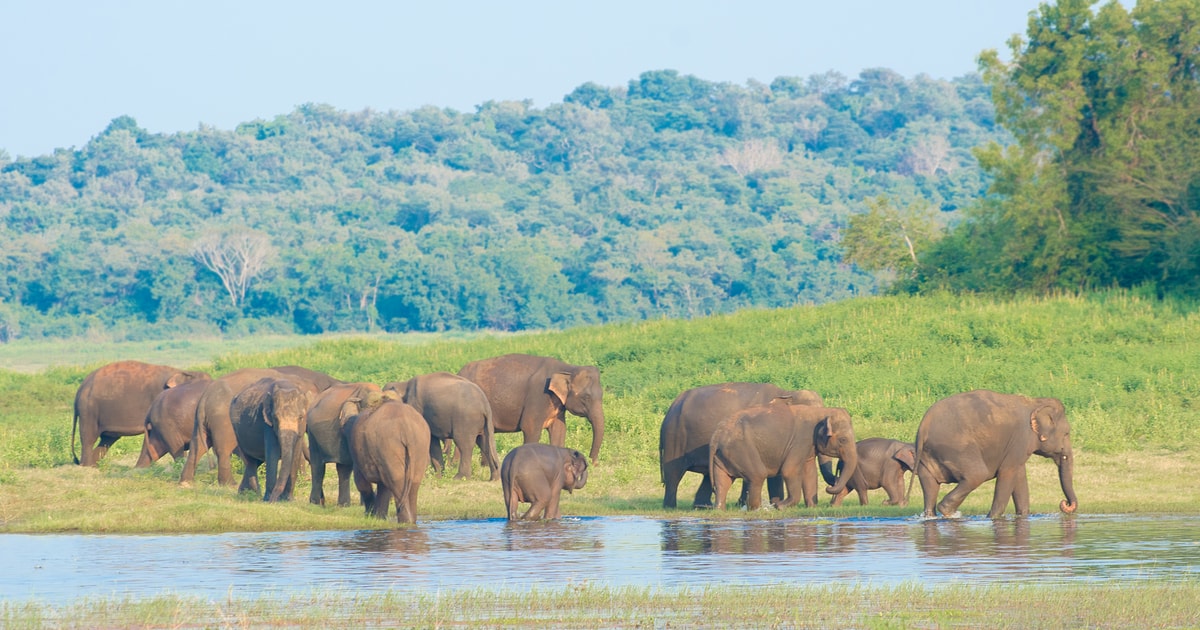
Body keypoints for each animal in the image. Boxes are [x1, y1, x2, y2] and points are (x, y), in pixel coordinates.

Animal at [72, 360, 207, 466]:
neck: (184, 371)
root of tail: (81, 387)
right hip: (88, 409)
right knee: (89, 437)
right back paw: (86, 466)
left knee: (107, 439)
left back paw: (93, 465)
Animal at [458, 354, 604, 464]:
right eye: (586, 397)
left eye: (602, 395)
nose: (593, 463)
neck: (568, 368)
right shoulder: (538, 395)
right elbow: (530, 427)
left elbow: (559, 430)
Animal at [658, 382, 824, 509]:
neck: (787, 392)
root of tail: (672, 406)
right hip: (674, 438)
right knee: (673, 473)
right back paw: (670, 507)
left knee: (707, 476)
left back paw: (702, 506)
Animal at [709, 403, 859, 510]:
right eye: (843, 440)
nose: (830, 487)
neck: (821, 412)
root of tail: (716, 435)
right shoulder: (800, 440)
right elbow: (789, 470)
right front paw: (780, 506)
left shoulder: (808, 446)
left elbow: (809, 472)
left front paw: (812, 508)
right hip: (740, 449)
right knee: (757, 475)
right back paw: (758, 509)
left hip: (723, 455)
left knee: (723, 481)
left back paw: (720, 510)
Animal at [911, 389, 1078, 519]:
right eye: (1066, 433)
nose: (1065, 503)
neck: (1035, 402)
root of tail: (924, 426)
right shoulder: (1020, 440)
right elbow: (1007, 473)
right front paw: (993, 518)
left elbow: (1019, 476)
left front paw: (1023, 516)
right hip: (957, 448)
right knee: (977, 475)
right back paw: (949, 512)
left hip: (926, 457)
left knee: (930, 486)